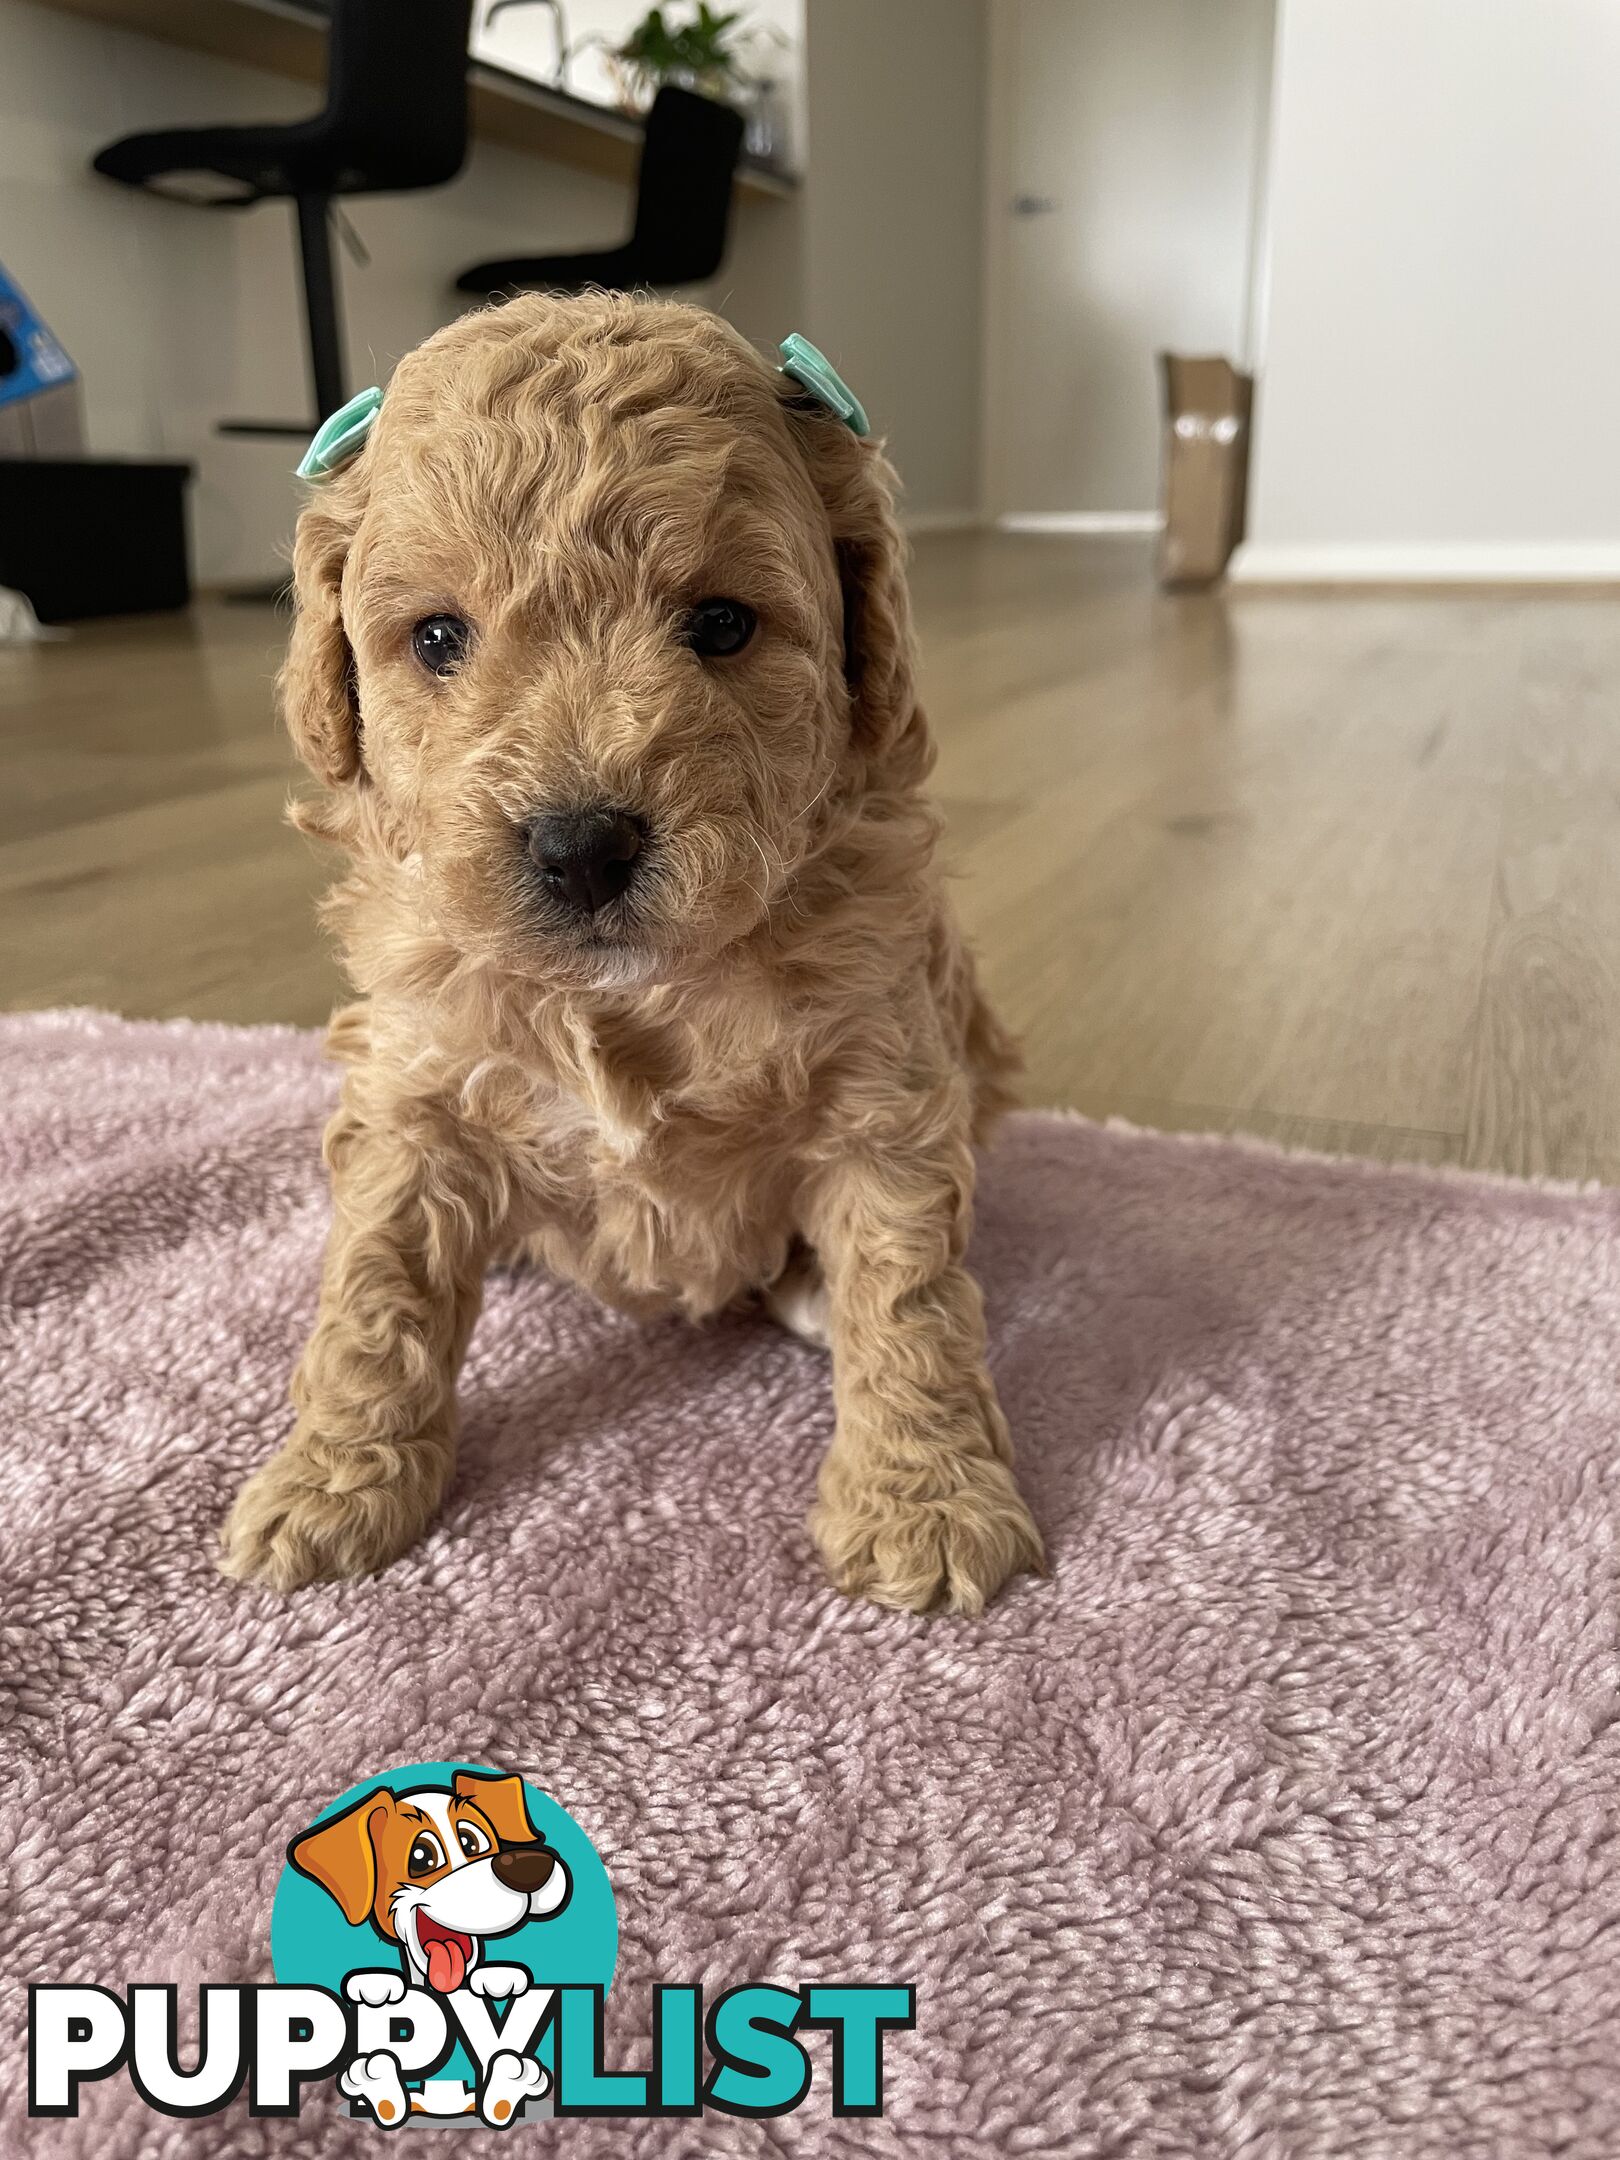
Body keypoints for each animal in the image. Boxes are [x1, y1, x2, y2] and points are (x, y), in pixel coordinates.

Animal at [222, 287, 1045, 1615]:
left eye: (720, 623)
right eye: (438, 637)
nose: (582, 848)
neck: (633, 991)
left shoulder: (883, 1095)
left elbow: (909, 1299)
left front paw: (926, 1503)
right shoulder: (414, 1086)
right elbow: (377, 1292)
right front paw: (331, 1483)